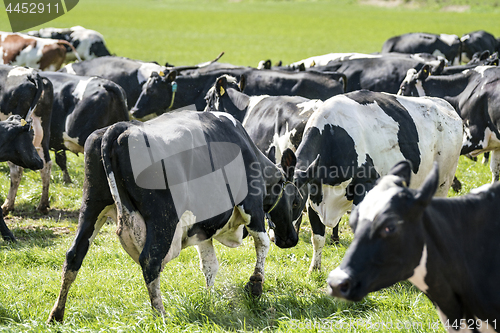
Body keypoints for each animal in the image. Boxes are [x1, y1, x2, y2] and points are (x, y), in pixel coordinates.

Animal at [0, 65, 53, 214]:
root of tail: (32, 72)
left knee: (16, 170)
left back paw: (7, 206)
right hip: (43, 133)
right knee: (46, 164)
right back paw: (42, 205)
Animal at [47, 109, 302, 322]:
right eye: (297, 202)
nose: (291, 239)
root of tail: (121, 127)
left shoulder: (204, 227)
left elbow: (210, 265)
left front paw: (209, 300)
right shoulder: (251, 204)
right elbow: (262, 242)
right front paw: (255, 286)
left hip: (92, 206)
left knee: (74, 255)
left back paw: (56, 314)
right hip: (164, 218)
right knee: (150, 260)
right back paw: (161, 315)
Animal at [284, 90, 462, 272]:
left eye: (295, 203)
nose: (283, 239)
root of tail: (445, 105)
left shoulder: (364, 187)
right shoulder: (313, 195)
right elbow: (318, 237)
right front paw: (314, 269)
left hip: (443, 181)